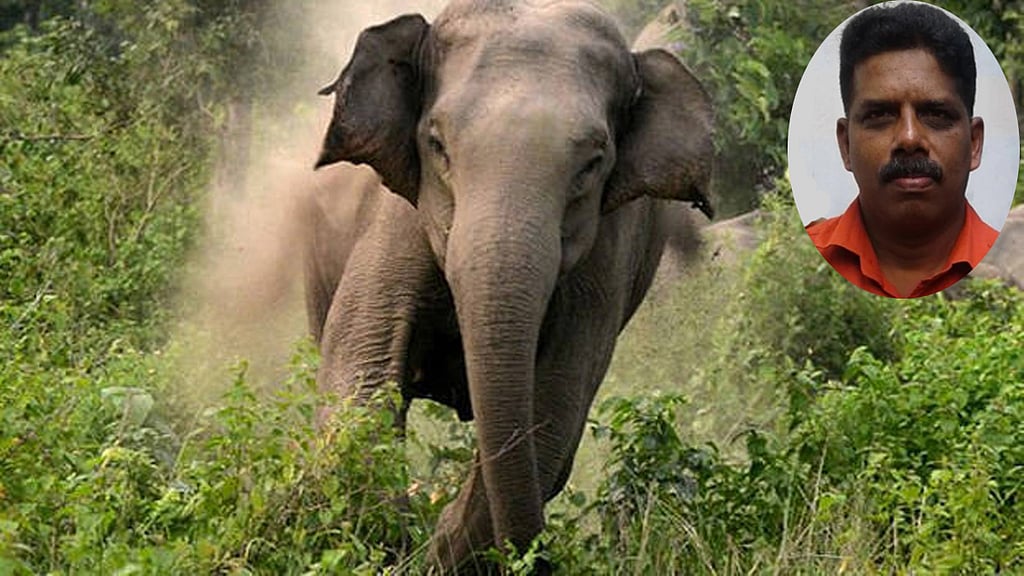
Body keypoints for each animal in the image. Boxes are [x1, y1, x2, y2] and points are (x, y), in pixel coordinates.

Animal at [308, 0, 713, 572]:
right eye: (437, 145)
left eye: (593, 164)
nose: (540, 558)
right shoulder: (395, 219)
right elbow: (359, 372)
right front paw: (394, 544)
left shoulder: (604, 262)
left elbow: (553, 414)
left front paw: (436, 552)